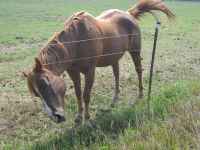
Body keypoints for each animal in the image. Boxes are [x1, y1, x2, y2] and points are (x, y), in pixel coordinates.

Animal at [23, 0, 173, 123]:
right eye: (36, 94)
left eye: (46, 83)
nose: (57, 117)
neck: (77, 41)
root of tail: (128, 14)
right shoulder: (73, 73)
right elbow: (78, 94)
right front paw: (79, 116)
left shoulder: (90, 71)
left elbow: (86, 95)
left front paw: (87, 117)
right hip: (114, 58)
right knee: (116, 75)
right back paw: (115, 98)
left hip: (135, 51)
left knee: (138, 70)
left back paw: (141, 94)